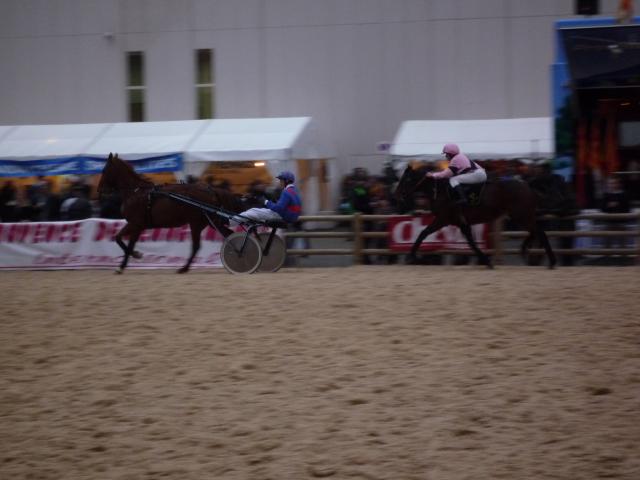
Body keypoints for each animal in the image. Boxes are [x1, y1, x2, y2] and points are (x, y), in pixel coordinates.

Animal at [96, 154, 244, 274]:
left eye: (104, 170)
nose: (100, 190)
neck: (136, 192)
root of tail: (211, 190)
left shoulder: (134, 223)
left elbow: (121, 240)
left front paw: (129, 260)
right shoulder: (138, 226)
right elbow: (125, 242)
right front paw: (126, 262)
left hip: (197, 223)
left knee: (196, 246)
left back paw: (184, 268)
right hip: (210, 222)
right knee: (228, 234)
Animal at [396, 165, 556, 268]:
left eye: (407, 179)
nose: (397, 195)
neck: (440, 191)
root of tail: (527, 185)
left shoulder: (443, 219)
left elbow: (423, 233)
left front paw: (410, 256)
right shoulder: (461, 222)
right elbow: (471, 242)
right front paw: (486, 261)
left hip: (522, 216)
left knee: (539, 232)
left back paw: (551, 262)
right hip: (522, 216)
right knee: (535, 232)